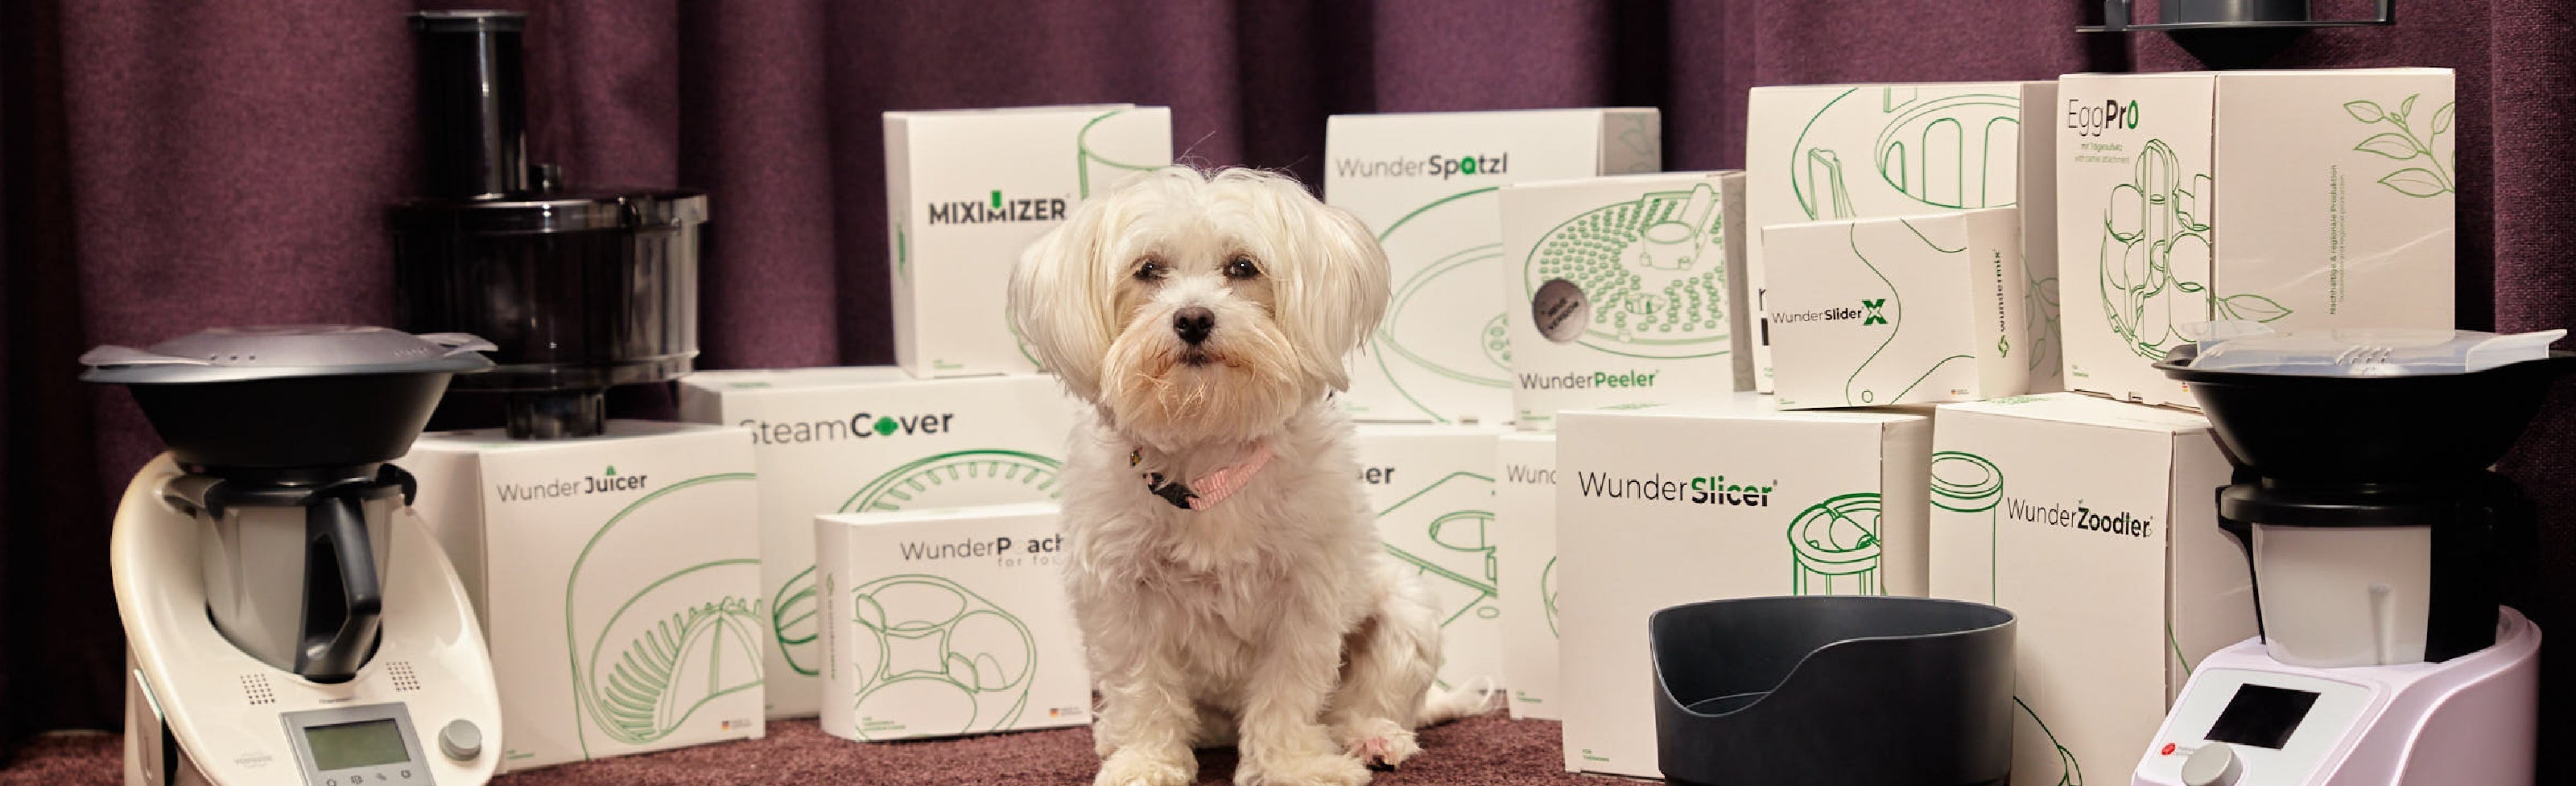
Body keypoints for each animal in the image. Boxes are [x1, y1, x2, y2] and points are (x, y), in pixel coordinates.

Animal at [1009, 167, 1491, 786]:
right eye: (1147, 269)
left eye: (1243, 267)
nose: (1193, 318)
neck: (1209, 454)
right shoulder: (1120, 596)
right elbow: (1144, 689)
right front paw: (1146, 761)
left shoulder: (1307, 593)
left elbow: (1289, 688)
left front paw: (1293, 765)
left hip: (1406, 615)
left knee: (1363, 700)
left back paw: (1371, 736)